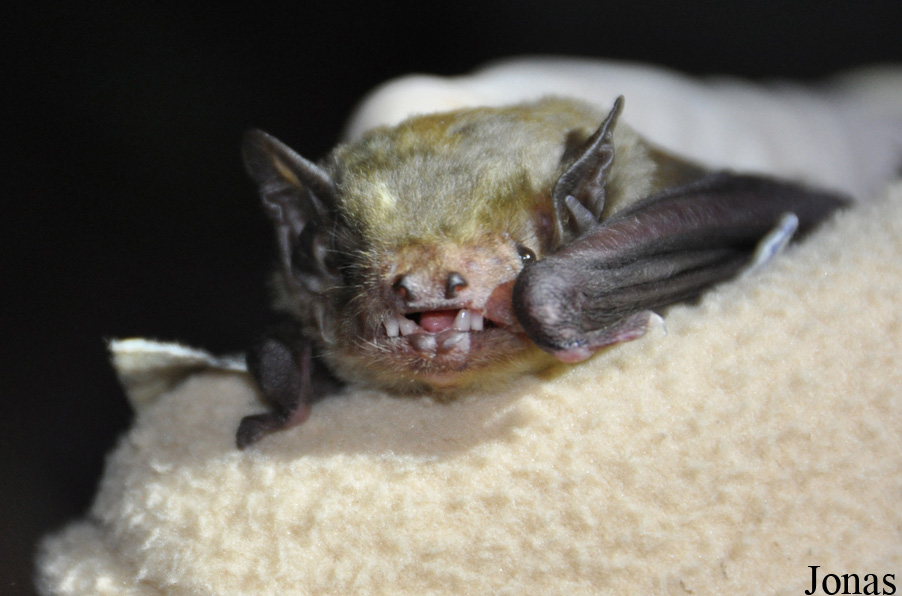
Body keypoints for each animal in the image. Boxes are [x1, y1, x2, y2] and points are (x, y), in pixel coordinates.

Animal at [235, 96, 848, 448]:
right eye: (345, 267)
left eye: (526, 254)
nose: (429, 288)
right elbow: (270, 347)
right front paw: (275, 417)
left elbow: (541, 289)